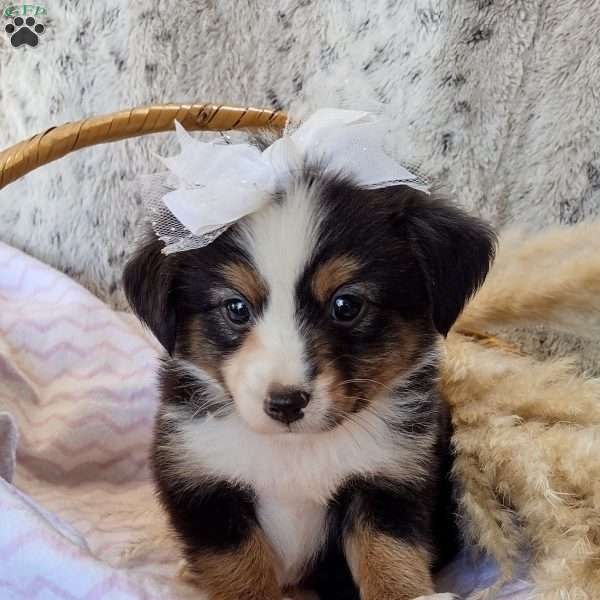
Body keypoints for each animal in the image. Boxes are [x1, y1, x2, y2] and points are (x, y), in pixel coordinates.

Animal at [123, 113, 496, 600]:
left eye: (346, 305)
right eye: (236, 308)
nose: (285, 404)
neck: (297, 452)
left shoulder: (391, 478)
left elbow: (390, 556)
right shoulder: (200, 479)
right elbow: (241, 569)